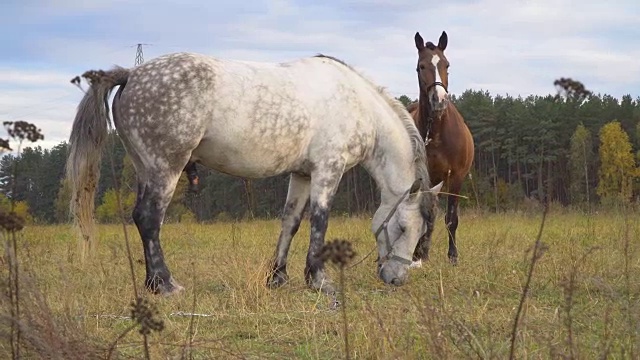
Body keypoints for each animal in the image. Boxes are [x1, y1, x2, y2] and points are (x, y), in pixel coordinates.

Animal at [67, 52, 442, 296]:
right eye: (404, 227)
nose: (396, 278)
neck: (356, 102)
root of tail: (132, 74)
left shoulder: (302, 175)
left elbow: (290, 222)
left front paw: (278, 278)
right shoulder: (327, 171)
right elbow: (319, 222)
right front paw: (319, 280)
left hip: (146, 169)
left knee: (142, 219)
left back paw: (151, 283)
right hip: (166, 169)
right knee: (148, 218)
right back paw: (165, 285)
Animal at [410, 31, 476, 266]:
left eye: (447, 65)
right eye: (421, 66)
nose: (439, 100)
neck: (436, 131)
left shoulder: (456, 177)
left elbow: (451, 219)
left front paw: (453, 256)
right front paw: (417, 256)